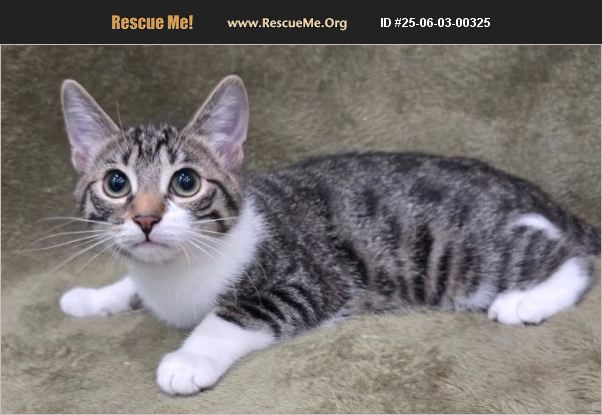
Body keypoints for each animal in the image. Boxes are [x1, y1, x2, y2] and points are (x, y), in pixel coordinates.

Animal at [58, 75, 600, 396]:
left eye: (185, 182)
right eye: (116, 184)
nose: (146, 219)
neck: (177, 275)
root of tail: (535, 194)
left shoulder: (311, 280)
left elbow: (231, 314)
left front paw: (189, 359)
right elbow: (131, 283)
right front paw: (91, 297)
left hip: (465, 254)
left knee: (574, 255)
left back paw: (526, 300)